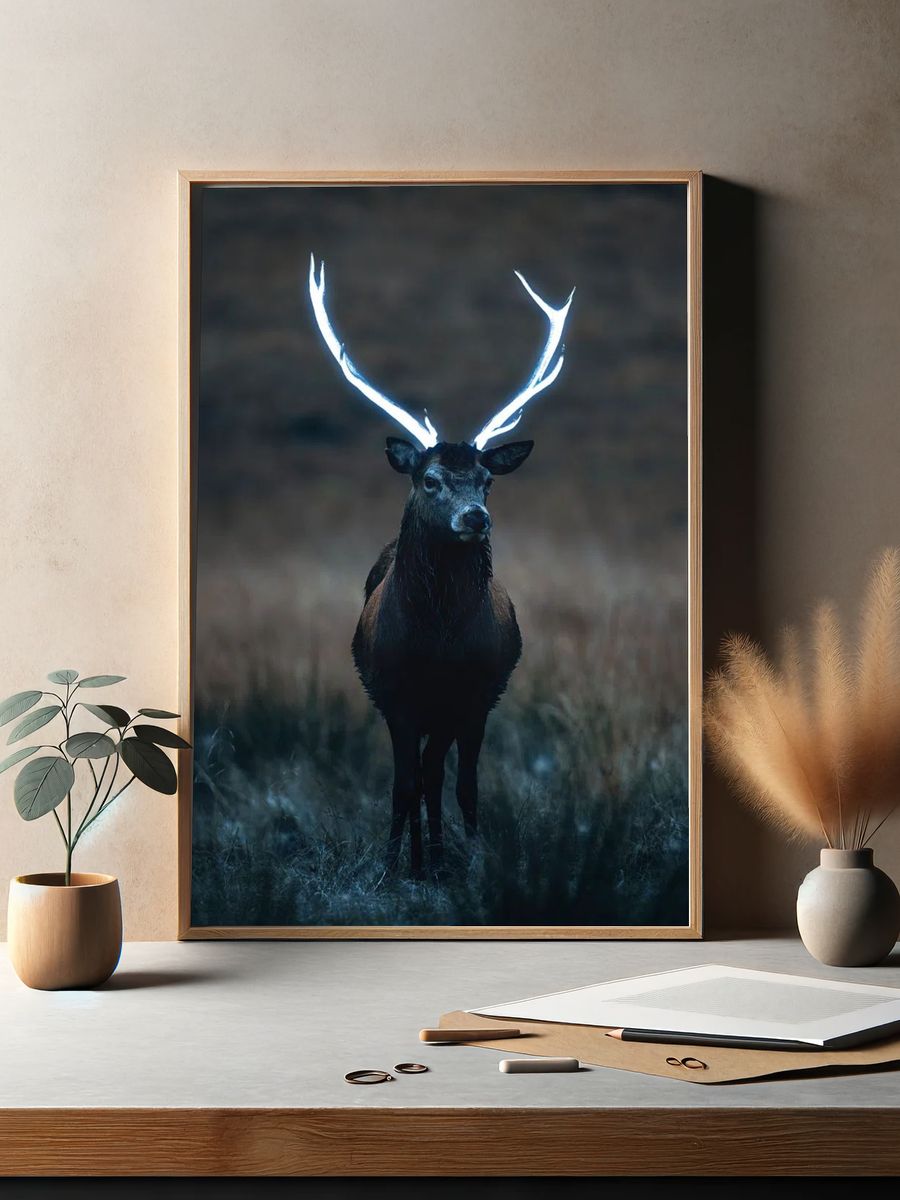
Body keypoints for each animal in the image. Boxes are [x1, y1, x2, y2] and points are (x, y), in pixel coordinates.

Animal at [308, 255, 575, 878]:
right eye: (429, 480)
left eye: (486, 481)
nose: (476, 517)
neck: (436, 642)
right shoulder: (396, 693)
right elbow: (404, 784)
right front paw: (391, 868)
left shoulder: (474, 693)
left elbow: (457, 784)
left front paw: (466, 862)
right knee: (416, 778)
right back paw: (417, 858)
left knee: (446, 775)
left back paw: (440, 856)